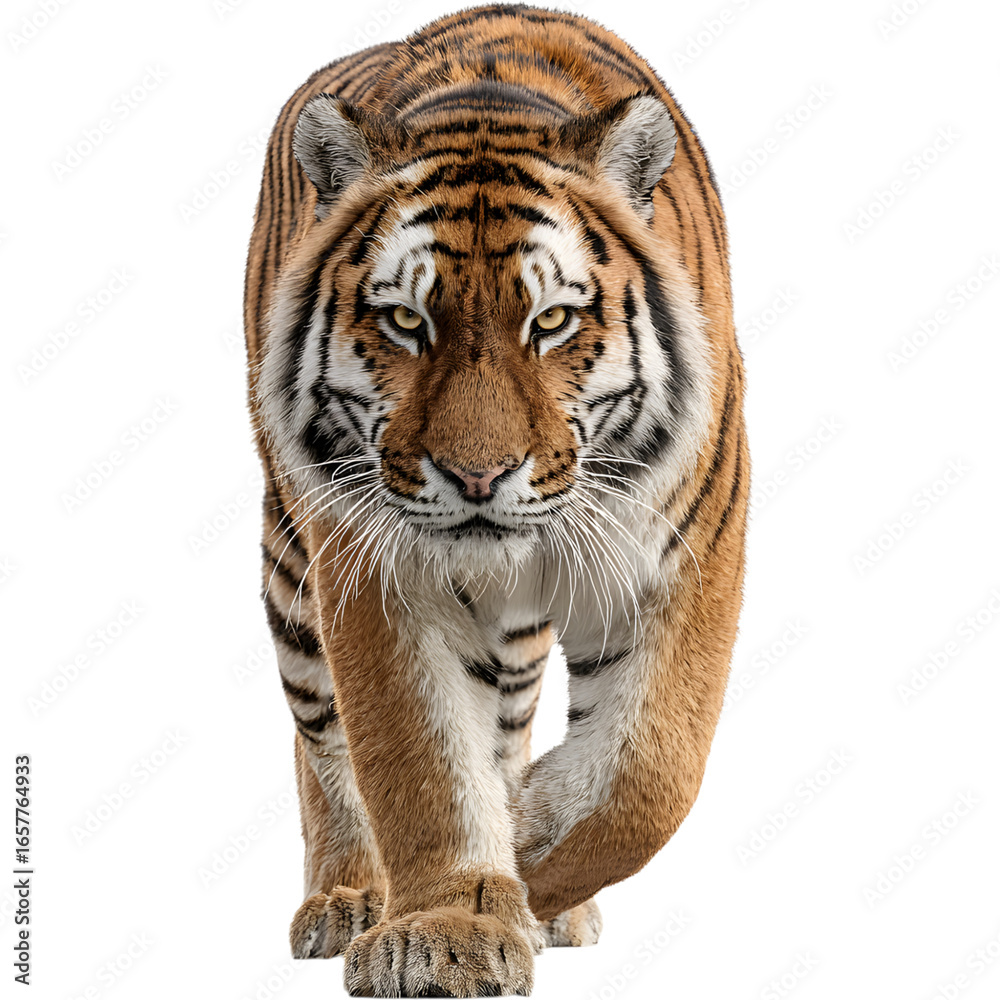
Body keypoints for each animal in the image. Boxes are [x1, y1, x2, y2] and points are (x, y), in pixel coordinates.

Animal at [243, 4, 748, 996]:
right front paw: (449, 926)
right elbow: (420, 763)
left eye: (549, 322)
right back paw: (349, 898)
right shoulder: (374, 570)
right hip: (291, 561)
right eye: (406, 320)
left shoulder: (690, 553)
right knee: (320, 738)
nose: (477, 478)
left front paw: (526, 854)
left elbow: (650, 774)